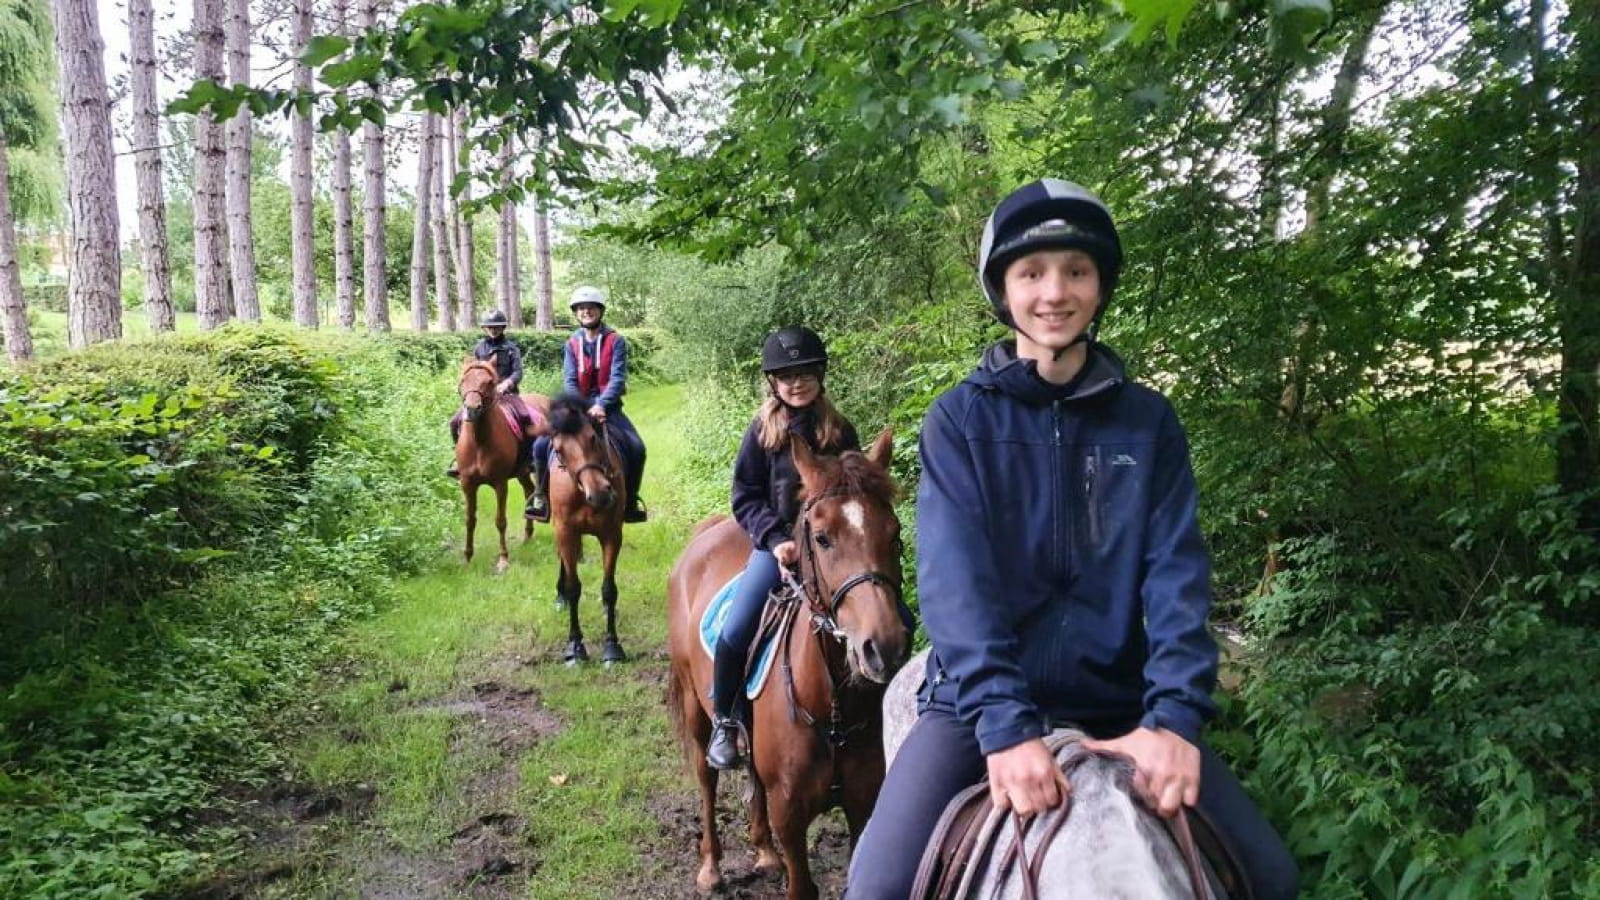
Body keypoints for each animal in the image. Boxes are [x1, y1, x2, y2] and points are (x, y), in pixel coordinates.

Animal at [451, 353, 550, 570]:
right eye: (463, 380)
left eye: (489, 382)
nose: (472, 409)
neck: (479, 442)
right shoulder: (467, 484)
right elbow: (470, 520)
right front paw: (467, 557)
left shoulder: (500, 484)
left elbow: (500, 521)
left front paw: (503, 559)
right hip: (522, 472)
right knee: (529, 490)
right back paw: (527, 535)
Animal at [547, 393, 627, 666]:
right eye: (558, 450)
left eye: (593, 437)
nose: (600, 494)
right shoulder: (566, 533)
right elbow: (574, 589)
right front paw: (575, 647)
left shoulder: (612, 534)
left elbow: (609, 590)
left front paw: (612, 647)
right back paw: (559, 596)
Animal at [665, 425, 915, 896]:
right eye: (822, 538)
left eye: (894, 534)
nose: (885, 646)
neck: (832, 708)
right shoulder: (790, 816)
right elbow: (801, 886)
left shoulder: (863, 804)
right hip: (695, 705)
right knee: (707, 779)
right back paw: (711, 866)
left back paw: (764, 851)